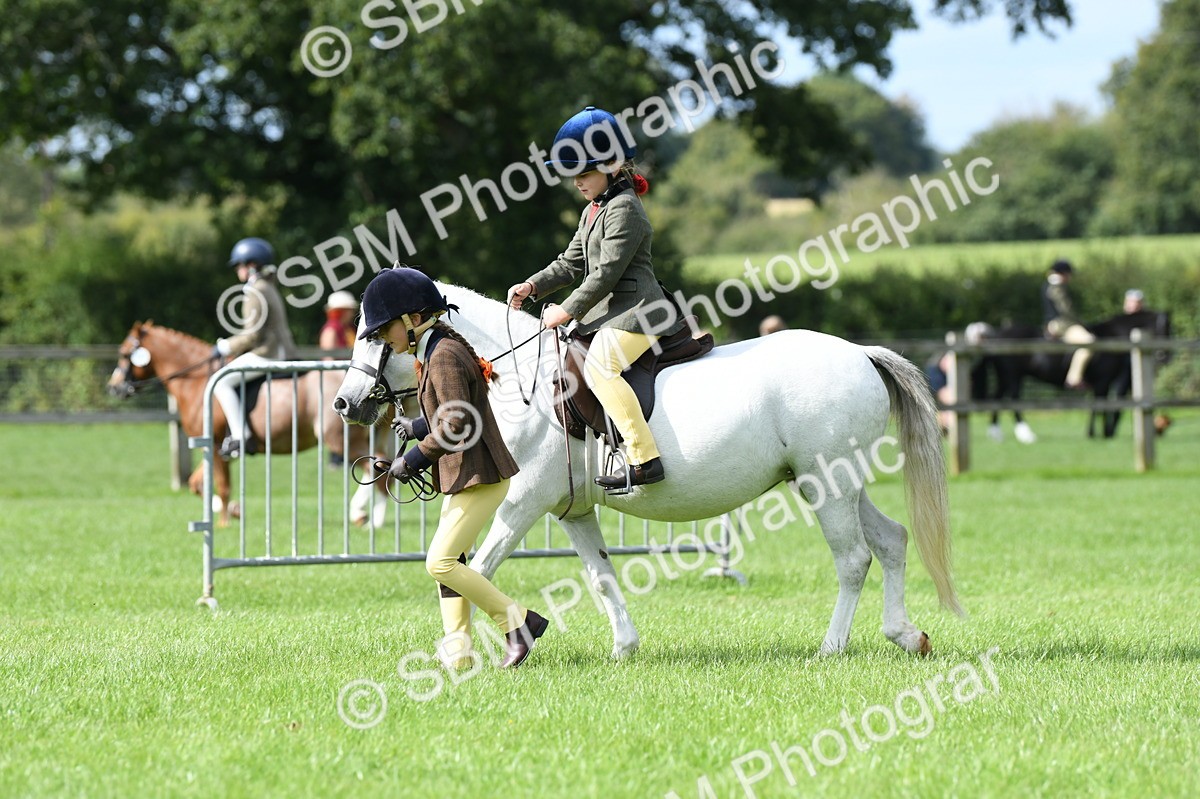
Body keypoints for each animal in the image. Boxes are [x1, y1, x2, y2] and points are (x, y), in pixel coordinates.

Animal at [107, 321, 393, 526]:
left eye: (124, 354)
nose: (114, 388)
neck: (197, 381)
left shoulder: (215, 446)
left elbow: (222, 486)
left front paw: (223, 522)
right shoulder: (214, 448)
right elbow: (198, 484)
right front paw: (233, 511)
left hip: (341, 440)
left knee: (376, 468)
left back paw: (372, 520)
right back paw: (364, 515)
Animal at [332, 283, 962, 660]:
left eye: (373, 336)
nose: (345, 403)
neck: (513, 380)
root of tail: (860, 354)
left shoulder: (521, 502)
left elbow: (475, 568)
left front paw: (490, 652)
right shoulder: (572, 512)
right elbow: (601, 577)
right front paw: (624, 648)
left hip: (824, 484)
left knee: (853, 558)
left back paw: (831, 647)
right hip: (840, 482)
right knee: (892, 540)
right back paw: (907, 634)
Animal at [976, 310, 1172, 440]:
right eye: (1165, 329)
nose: (1164, 356)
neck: (1112, 338)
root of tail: (996, 335)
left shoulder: (1103, 382)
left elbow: (1098, 406)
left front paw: (1097, 433)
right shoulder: (1103, 381)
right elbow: (1099, 406)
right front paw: (1097, 434)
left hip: (1006, 377)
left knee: (998, 398)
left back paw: (996, 434)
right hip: (1013, 376)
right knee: (1014, 400)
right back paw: (1025, 434)